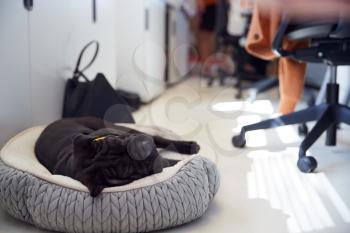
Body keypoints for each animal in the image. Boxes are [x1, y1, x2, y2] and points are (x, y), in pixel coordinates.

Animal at [36, 117, 200, 196]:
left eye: (117, 141)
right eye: (128, 172)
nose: (140, 149)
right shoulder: (159, 163)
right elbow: (170, 161)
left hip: (124, 128)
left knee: (159, 138)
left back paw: (190, 146)